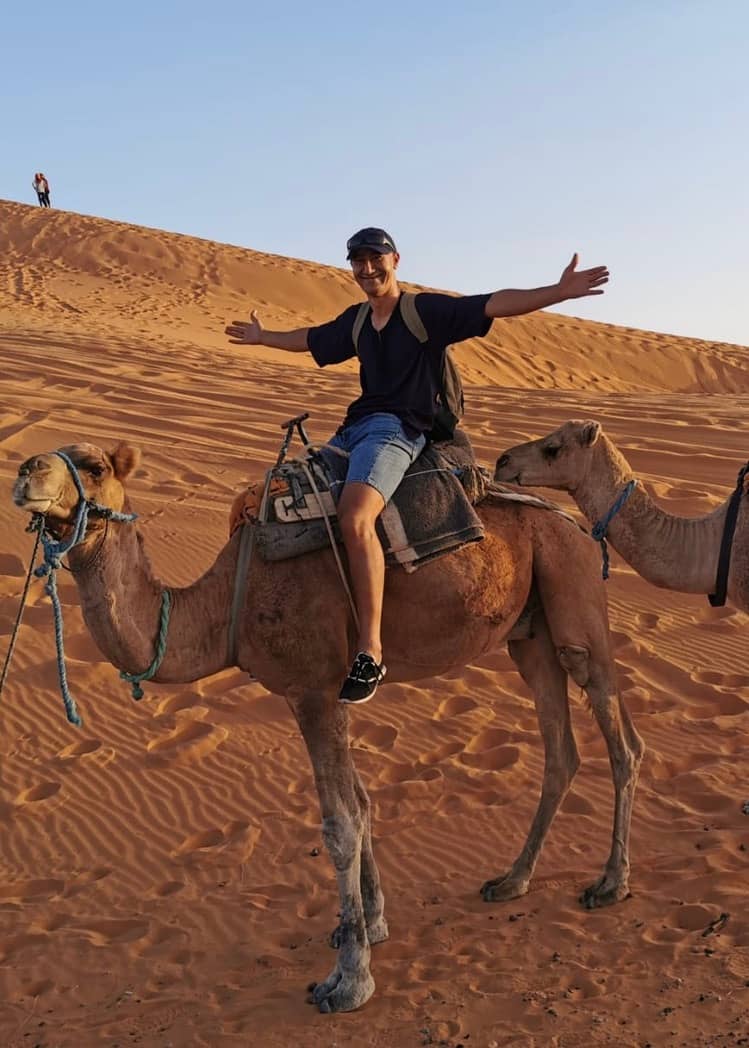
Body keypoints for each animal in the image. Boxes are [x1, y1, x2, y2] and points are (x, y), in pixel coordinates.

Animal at [11, 442, 645, 1014]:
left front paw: (348, 981)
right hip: (528, 634)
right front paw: (370, 924)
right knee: (560, 749)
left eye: (93, 466)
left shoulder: (316, 691)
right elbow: (361, 802)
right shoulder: (324, 696)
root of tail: (578, 523)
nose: (25, 470)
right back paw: (511, 880)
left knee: (623, 741)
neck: (228, 605)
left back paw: (610, 884)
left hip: (573, 597)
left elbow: (340, 823)